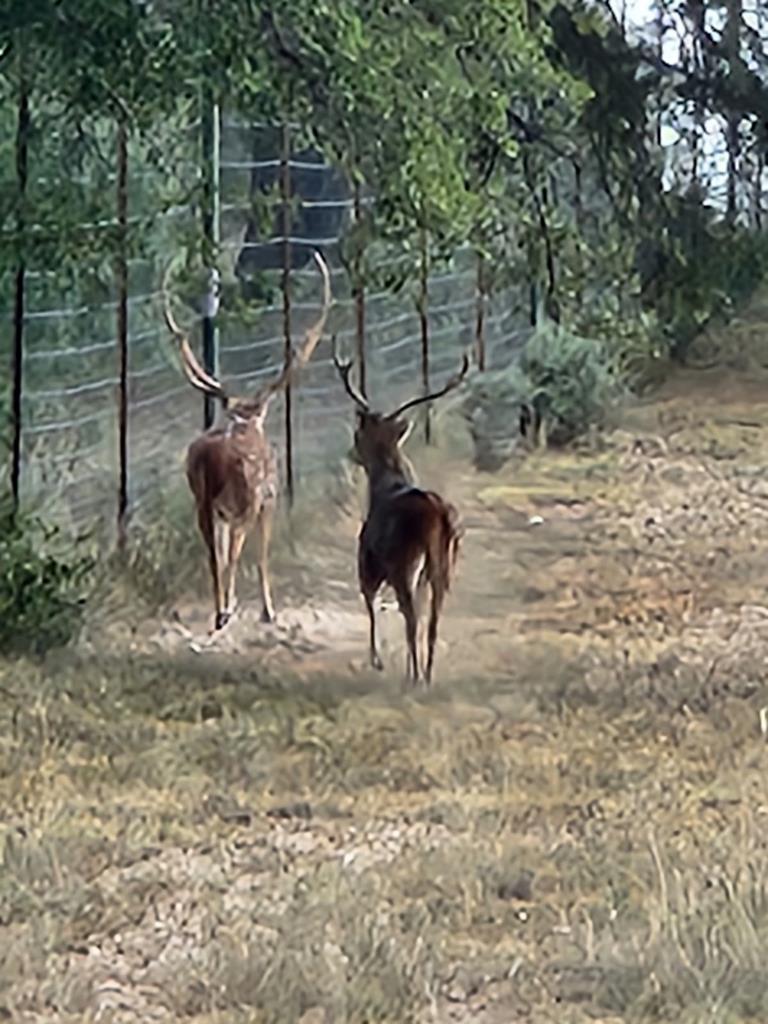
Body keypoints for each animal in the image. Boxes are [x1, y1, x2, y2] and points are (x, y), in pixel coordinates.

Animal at [163, 249, 331, 630]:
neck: (246, 422)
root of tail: (210, 458)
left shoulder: (223, 510)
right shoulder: (269, 499)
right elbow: (262, 555)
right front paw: (268, 610)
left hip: (204, 502)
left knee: (215, 554)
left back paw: (220, 609)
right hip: (245, 501)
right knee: (235, 551)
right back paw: (225, 611)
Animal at [335, 344, 473, 688]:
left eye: (358, 435)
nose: (351, 453)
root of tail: (439, 513)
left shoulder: (368, 562)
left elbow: (372, 605)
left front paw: (377, 660)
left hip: (404, 560)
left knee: (410, 615)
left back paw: (415, 675)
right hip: (444, 562)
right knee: (432, 617)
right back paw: (427, 673)